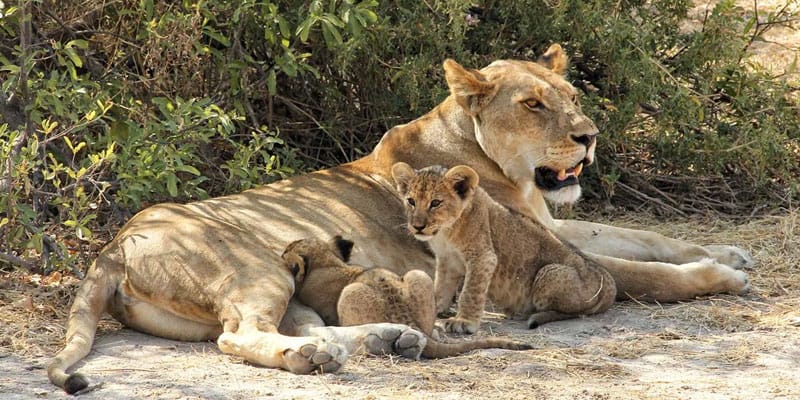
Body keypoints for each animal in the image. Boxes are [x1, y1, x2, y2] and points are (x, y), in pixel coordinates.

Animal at [281, 236, 532, 358]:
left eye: (285, 252)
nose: (281, 253)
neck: (326, 260)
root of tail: (410, 323)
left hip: (350, 293)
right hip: (418, 275)